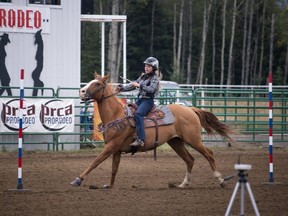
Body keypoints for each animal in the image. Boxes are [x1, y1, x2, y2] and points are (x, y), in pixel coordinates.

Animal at [71, 74, 235, 189]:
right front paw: (109, 186)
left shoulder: (111, 146)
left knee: (209, 154)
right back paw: (183, 184)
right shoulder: (116, 149)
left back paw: (221, 180)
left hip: (193, 140)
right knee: (190, 159)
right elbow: (114, 169)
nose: (81, 91)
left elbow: (95, 161)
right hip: (176, 142)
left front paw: (77, 179)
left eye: (97, 83)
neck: (117, 115)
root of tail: (191, 109)